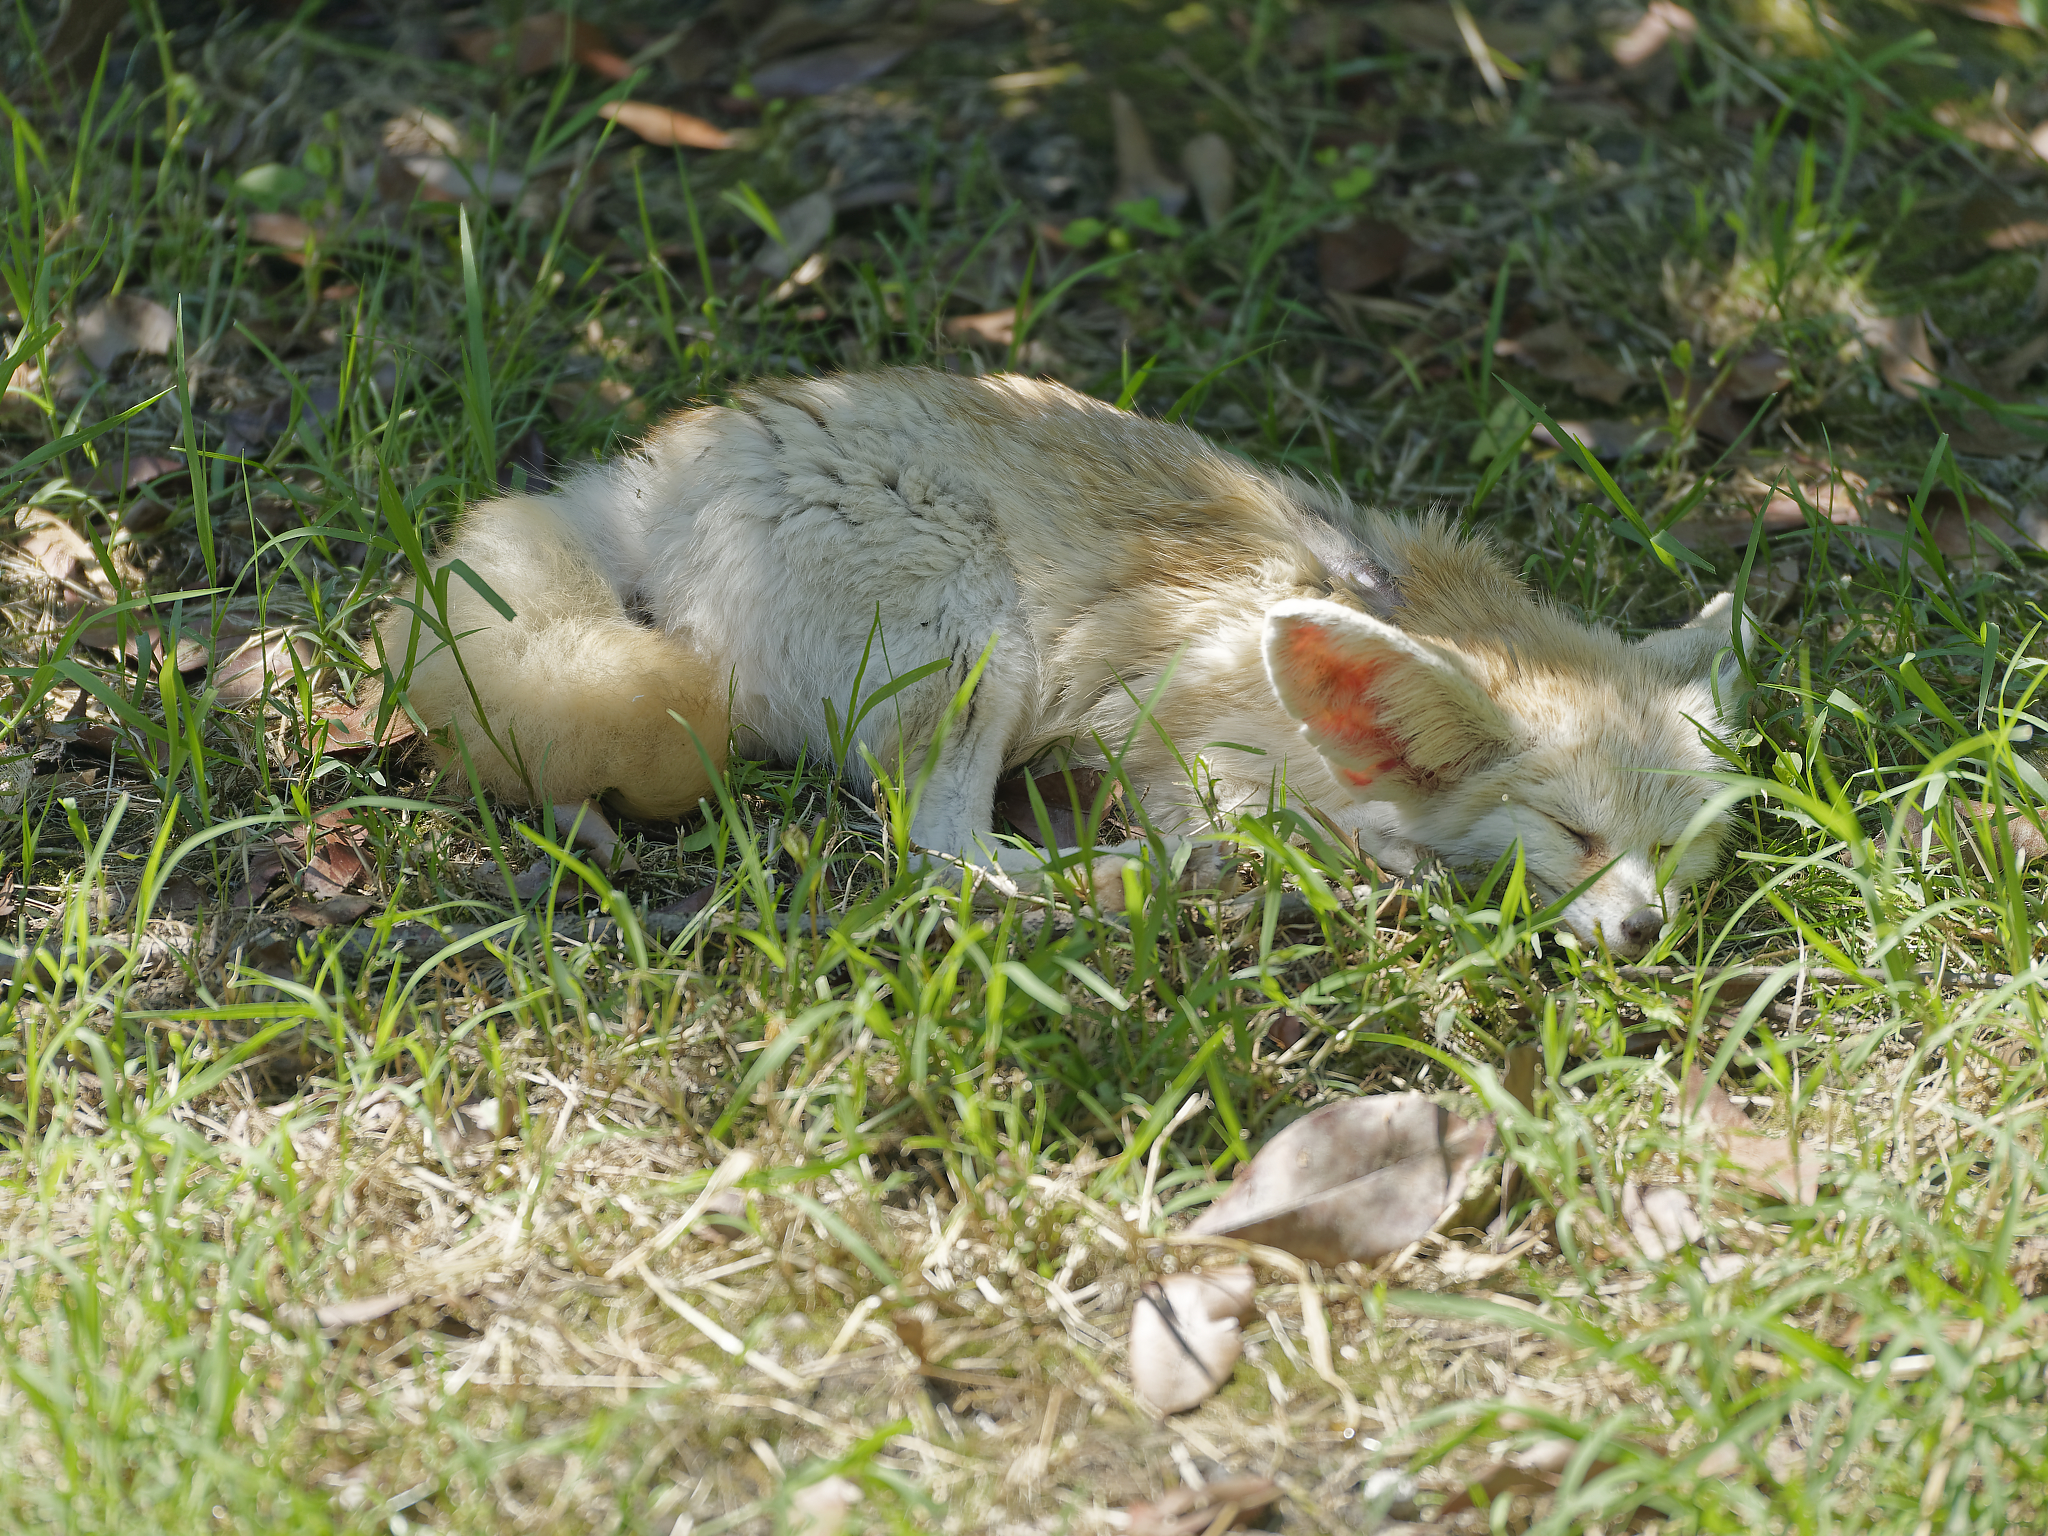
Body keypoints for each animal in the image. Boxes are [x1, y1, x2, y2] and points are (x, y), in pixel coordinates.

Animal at [379, 368, 1754, 959]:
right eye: (1572, 835)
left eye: (1679, 847)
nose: (1646, 933)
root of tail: (649, 477)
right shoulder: (1177, 743)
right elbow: (1288, 833)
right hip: (975, 640)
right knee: (942, 856)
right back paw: (1115, 880)